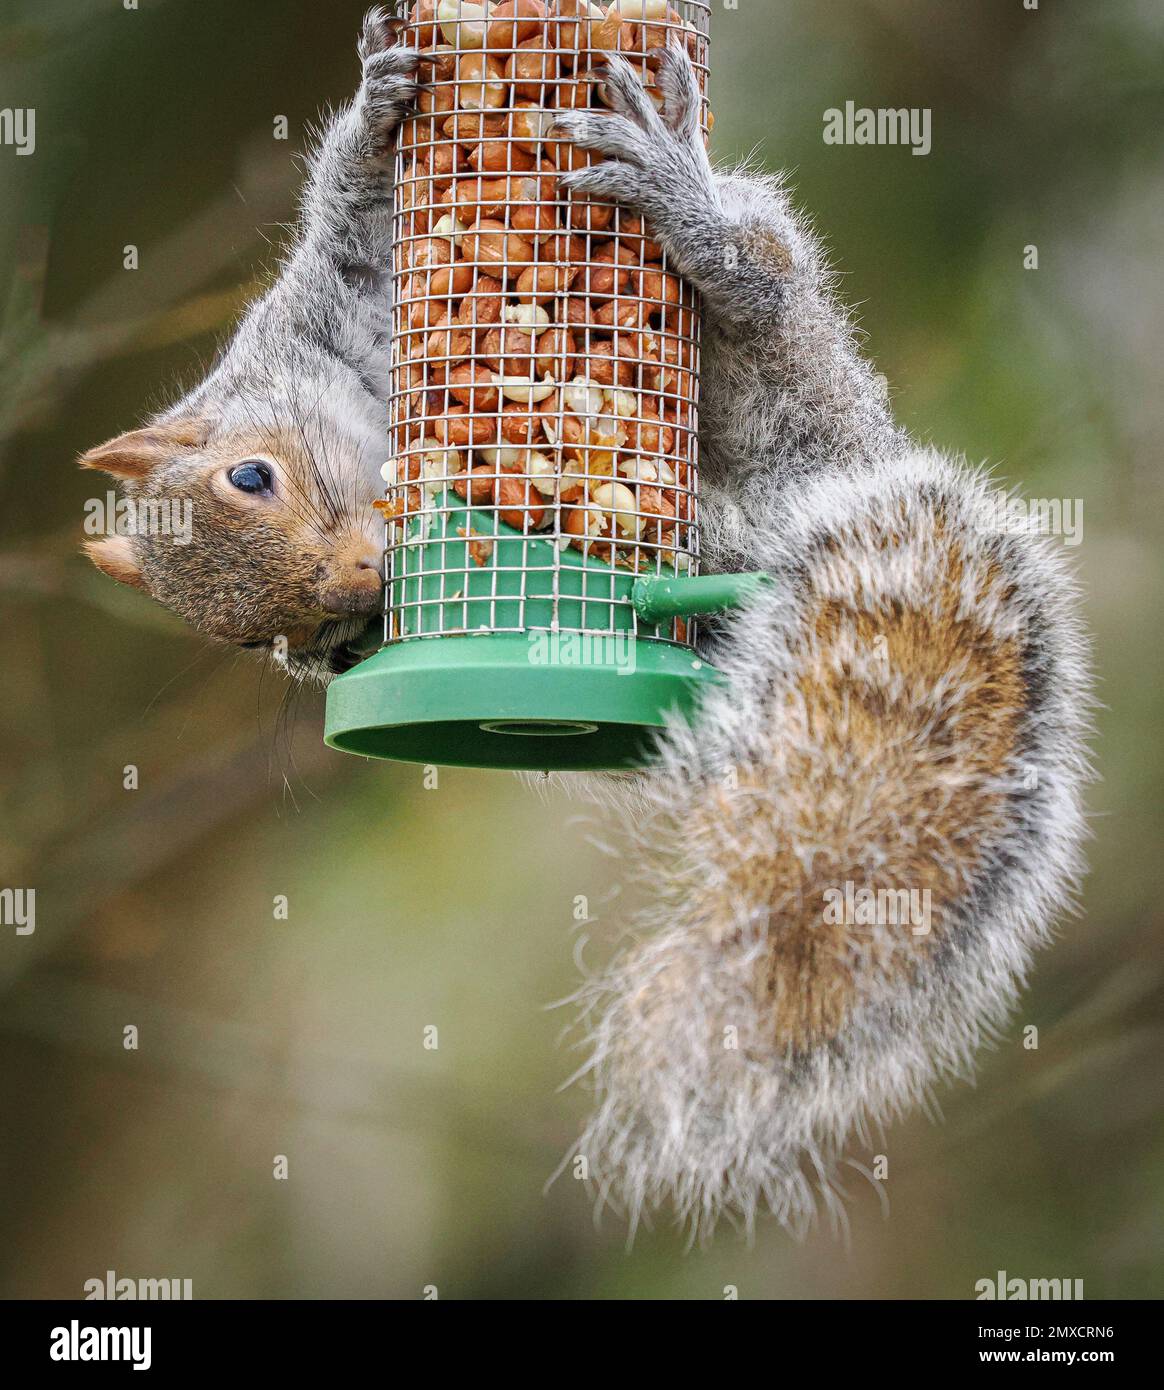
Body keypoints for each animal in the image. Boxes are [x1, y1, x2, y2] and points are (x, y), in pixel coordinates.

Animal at [79, 11, 1092, 1237]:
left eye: (251, 475)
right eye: (268, 644)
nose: (359, 587)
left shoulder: (335, 305)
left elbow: (356, 221)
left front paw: (376, 108)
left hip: (791, 373)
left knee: (760, 289)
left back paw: (685, 208)